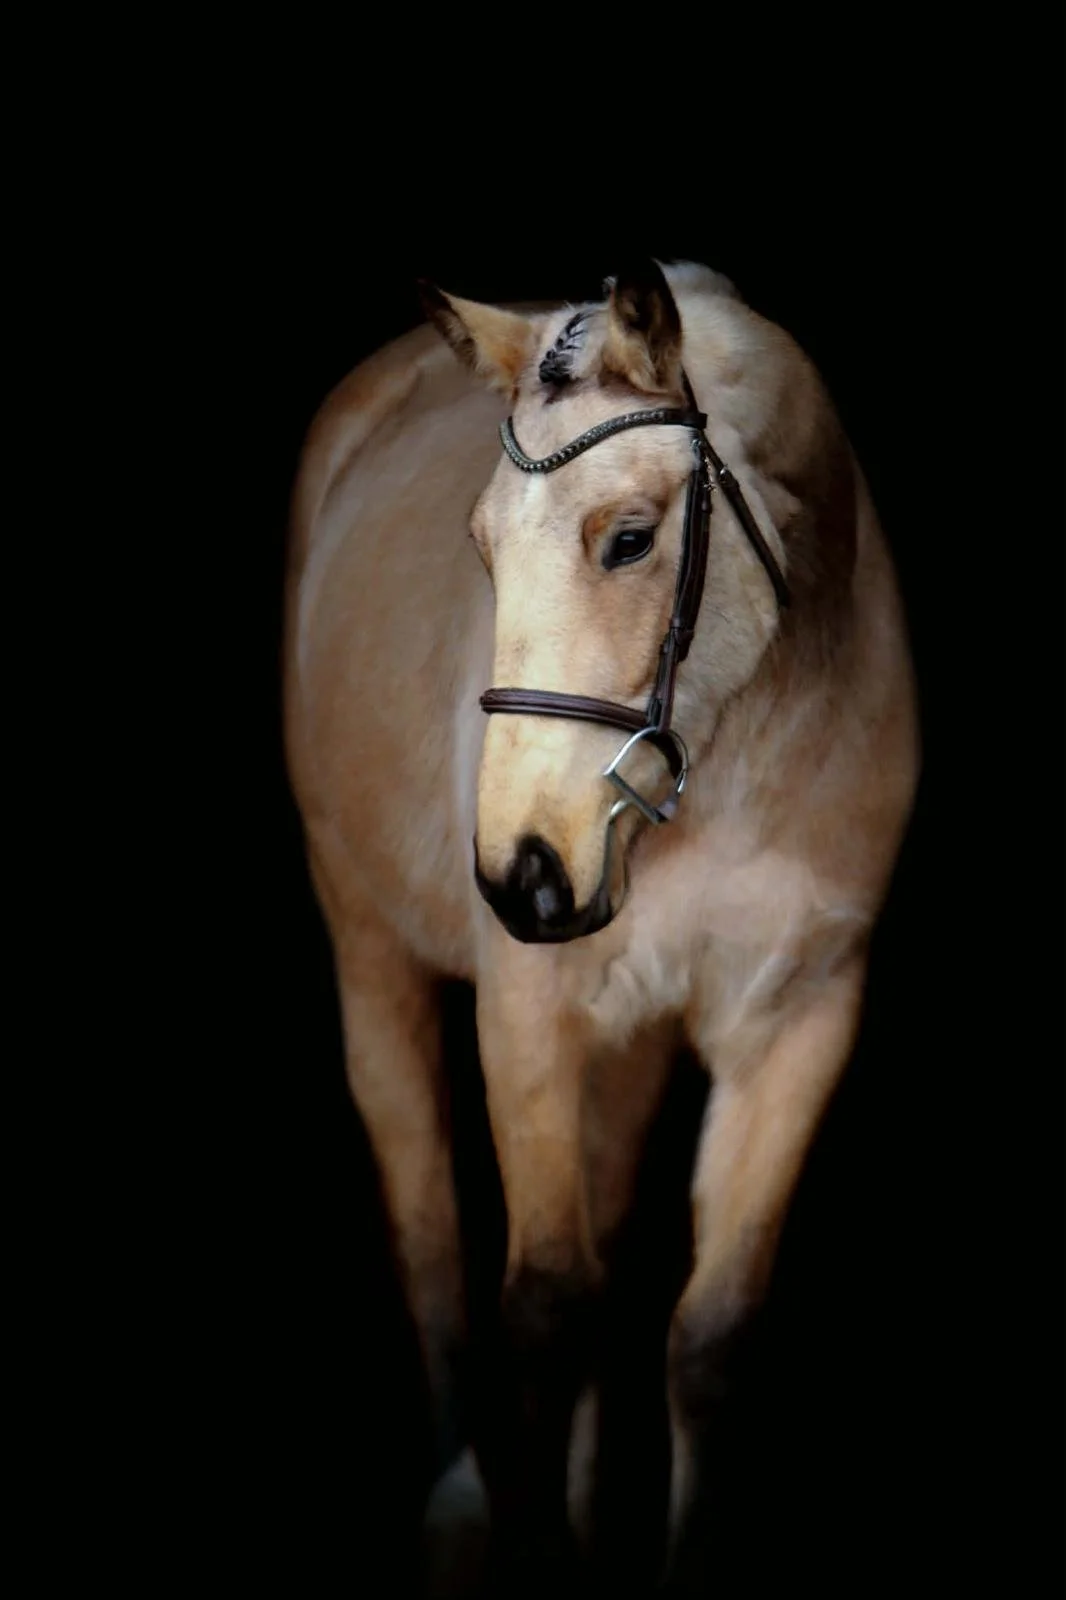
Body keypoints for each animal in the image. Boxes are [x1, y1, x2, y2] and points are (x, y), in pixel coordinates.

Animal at [282, 257, 919, 1591]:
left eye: (628, 540)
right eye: (479, 546)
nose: (525, 874)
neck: (742, 752)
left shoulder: (800, 1016)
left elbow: (709, 1331)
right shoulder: (528, 1012)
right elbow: (542, 1302)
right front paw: (523, 1543)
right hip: (369, 950)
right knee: (431, 1237)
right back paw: (463, 1502)